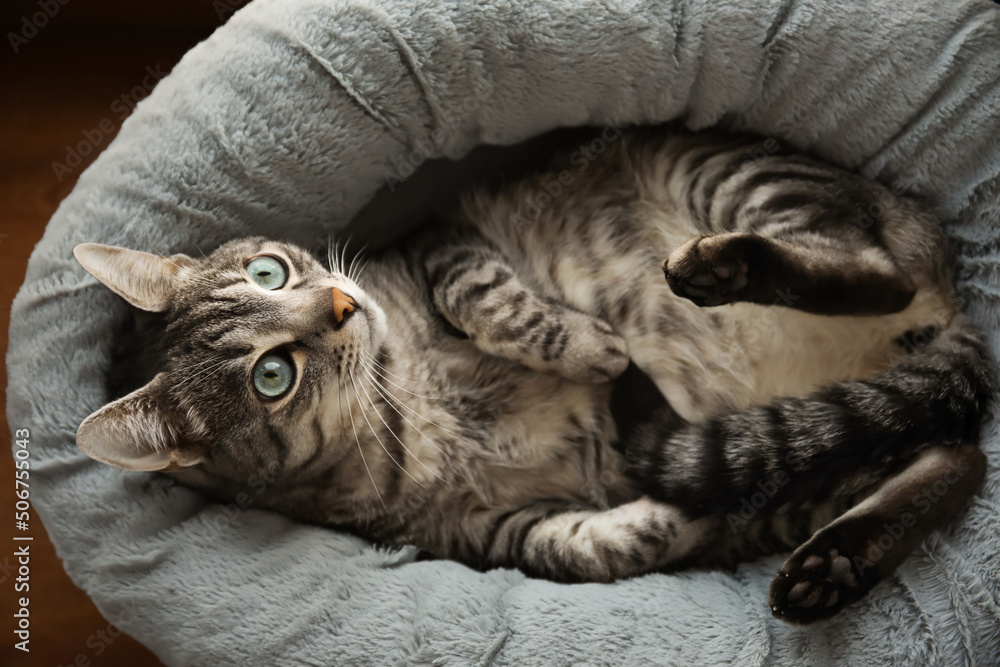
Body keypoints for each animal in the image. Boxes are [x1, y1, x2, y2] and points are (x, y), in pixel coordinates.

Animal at [72, 126, 992, 628]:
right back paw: (830, 566)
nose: (339, 303)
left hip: (732, 177)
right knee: (956, 455)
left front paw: (594, 349)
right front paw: (664, 521)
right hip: (796, 459)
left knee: (878, 278)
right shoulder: (488, 533)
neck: (402, 401)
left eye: (269, 272)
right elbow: (587, 548)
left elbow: (487, 298)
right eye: (272, 376)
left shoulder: (444, 244)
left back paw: (719, 269)